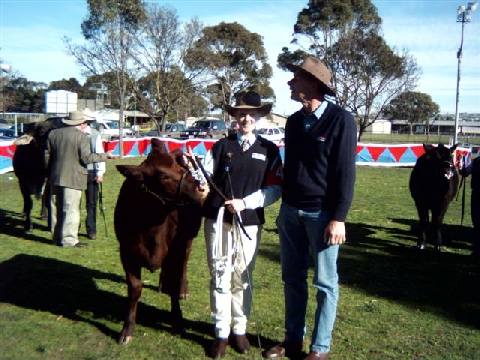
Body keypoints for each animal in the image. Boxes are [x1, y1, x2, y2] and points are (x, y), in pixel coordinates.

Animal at [115, 138, 210, 344]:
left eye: (181, 168)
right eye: (163, 176)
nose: (201, 188)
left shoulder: (176, 248)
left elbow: (174, 283)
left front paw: (177, 320)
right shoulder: (126, 251)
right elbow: (135, 288)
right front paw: (127, 330)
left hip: (188, 239)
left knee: (183, 265)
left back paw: (183, 289)